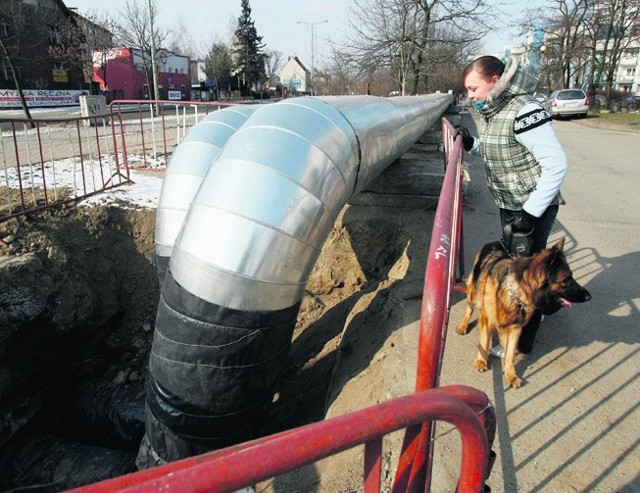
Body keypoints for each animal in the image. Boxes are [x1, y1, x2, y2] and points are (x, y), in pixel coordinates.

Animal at [458, 239, 592, 388]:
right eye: (566, 280)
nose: (589, 297)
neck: (515, 295)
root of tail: (496, 242)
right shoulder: (487, 319)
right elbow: (484, 341)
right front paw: (481, 361)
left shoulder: (516, 328)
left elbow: (510, 353)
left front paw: (511, 375)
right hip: (474, 293)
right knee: (469, 307)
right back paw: (463, 325)